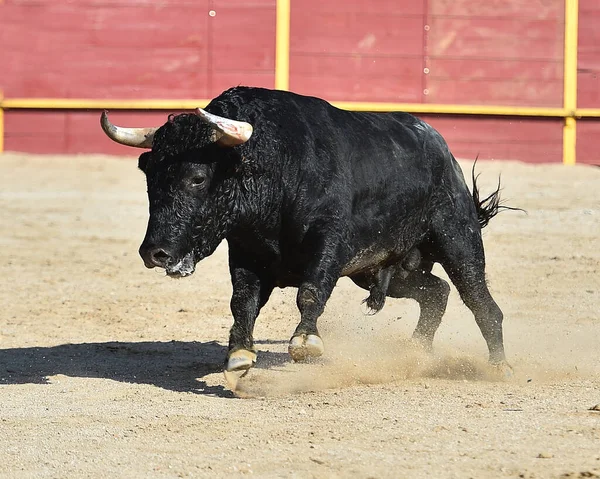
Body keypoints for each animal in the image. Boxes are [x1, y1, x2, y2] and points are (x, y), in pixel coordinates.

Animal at [101, 86, 512, 378]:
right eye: (150, 178)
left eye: (197, 178)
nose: (155, 253)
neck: (275, 167)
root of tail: (442, 149)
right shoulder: (246, 253)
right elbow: (242, 301)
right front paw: (239, 354)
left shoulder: (329, 241)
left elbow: (312, 291)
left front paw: (305, 341)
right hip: (380, 268)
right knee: (436, 292)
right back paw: (416, 353)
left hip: (456, 238)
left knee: (481, 302)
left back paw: (499, 367)